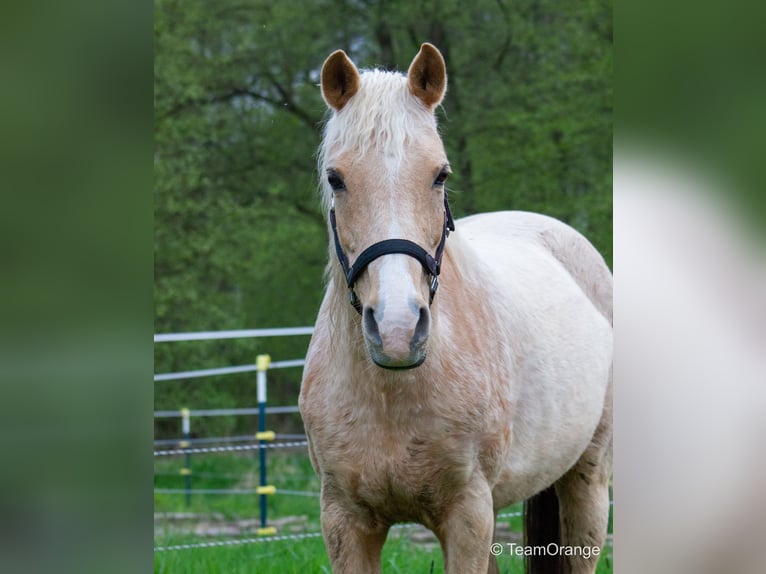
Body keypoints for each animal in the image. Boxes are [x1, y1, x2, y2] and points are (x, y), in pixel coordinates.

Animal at [298, 42, 612, 572]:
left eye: (439, 175)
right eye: (335, 178)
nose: (397, 329)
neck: (391, 394)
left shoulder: (468, 516)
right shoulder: (344, 521)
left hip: (587, 481)